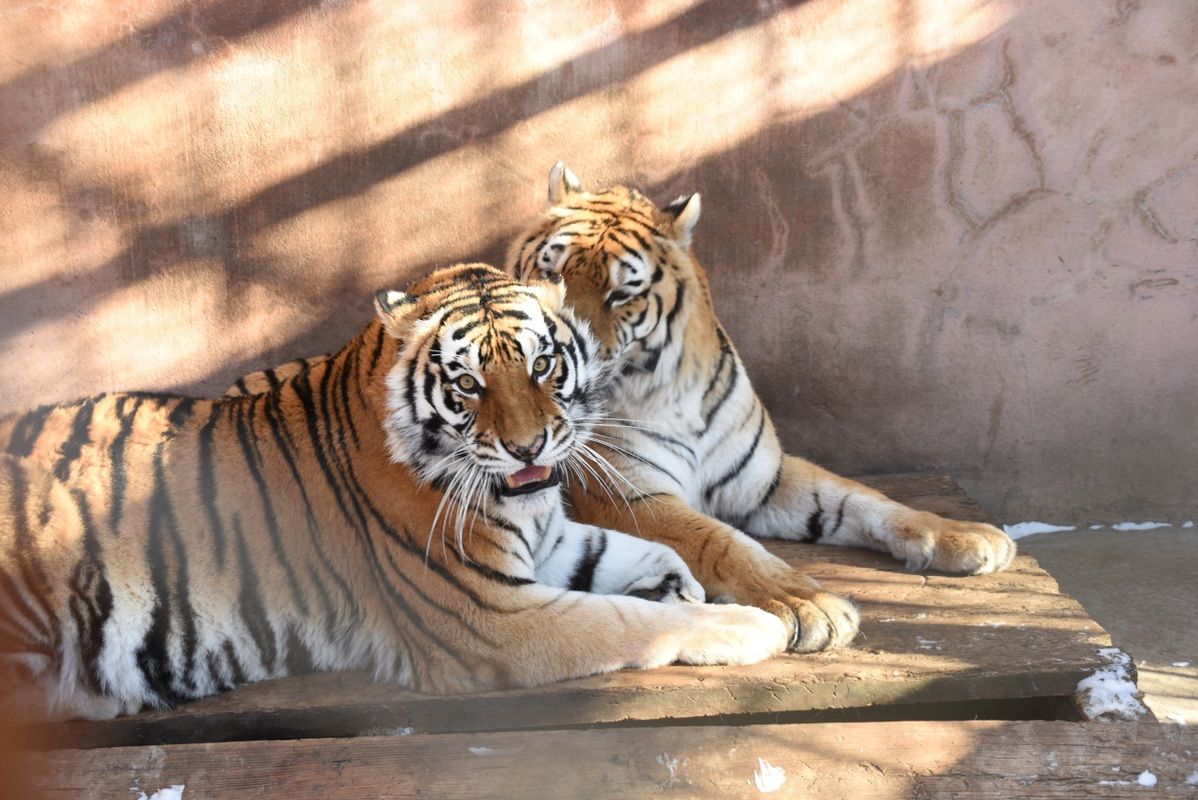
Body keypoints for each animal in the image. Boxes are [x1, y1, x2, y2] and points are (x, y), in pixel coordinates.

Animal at [0, 263, 785, 723]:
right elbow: (628, 621)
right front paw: (747, 625)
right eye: (468, 383)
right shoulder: (491, 616)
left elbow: (635, 554)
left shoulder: (549, 543)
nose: (529, 447)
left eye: (542, 365)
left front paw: (681, 585)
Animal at [500, 165, 1015, 651]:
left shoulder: (764, 479)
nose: (567, 351)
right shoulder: (626, 497)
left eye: (621, 294)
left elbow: (866, 500)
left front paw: (967, 535)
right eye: (550, 275)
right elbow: (720, 541)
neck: (672, 393)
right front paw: (811, 604)